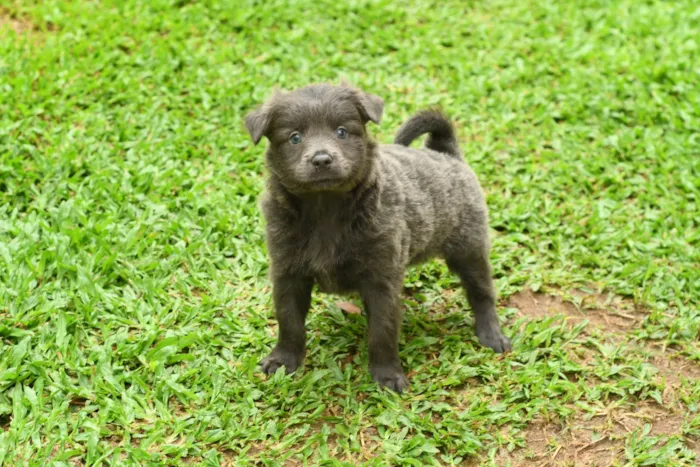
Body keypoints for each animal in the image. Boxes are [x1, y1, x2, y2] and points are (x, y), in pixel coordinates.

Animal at [245, 83, 508, 392]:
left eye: (342, 132)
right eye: (295, 138)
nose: (322, 159)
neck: (325, 208)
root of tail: (445, 152)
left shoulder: (381, 280)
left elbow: (382, 331)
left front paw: (386, 374)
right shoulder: (288, 273)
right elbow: (289, 321)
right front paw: (284, 359)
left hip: (469, 247)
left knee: (482, 292)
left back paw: (491, 334)